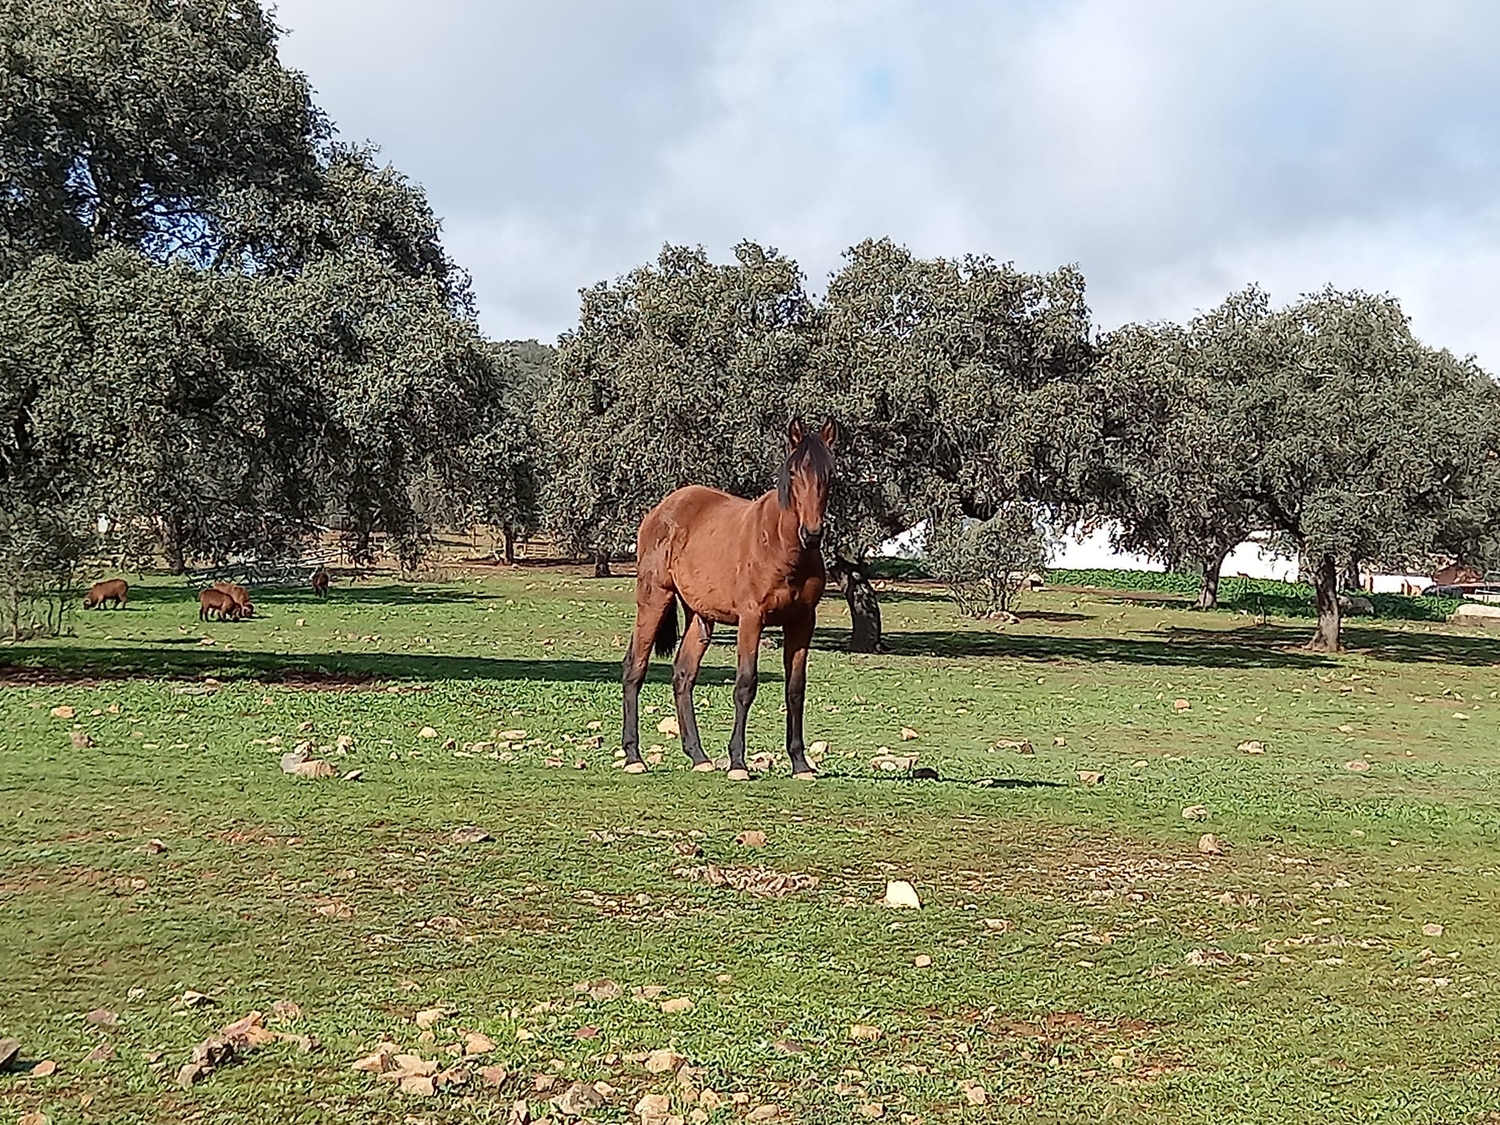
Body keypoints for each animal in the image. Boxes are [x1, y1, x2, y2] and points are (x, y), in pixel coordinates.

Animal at [622, 417, 837, 782]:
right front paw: (738, 762)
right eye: (795, 473)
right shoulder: (751, 619)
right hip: (654, 598)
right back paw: (633, 757)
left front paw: (800, 764)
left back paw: (698, 756)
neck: (781, 545)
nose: (812, 534)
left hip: (699, 616)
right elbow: (745, 685)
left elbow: (795, 689)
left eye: (830, 474)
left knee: (683, 675)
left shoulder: (802, 622)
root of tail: (660, 510)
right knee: (635, 668)